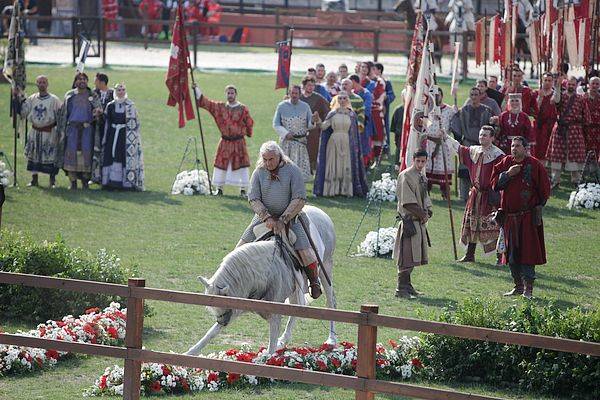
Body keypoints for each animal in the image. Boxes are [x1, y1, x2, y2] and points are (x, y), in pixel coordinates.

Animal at [186, 205, 338, 354]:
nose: (223, 322)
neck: (265, 272)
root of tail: (322, 213)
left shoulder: (273, 311)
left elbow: (271, 345)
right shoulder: (239, 304)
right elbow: (211, 332)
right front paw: (191, 352)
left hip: (326, 268)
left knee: (330, 302)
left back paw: (331, 339)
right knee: (296, 307)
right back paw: (284, 340)